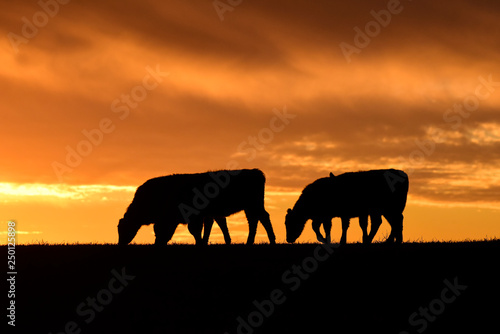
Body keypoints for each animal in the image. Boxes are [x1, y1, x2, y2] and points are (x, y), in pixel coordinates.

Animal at [117, 170, 278, 245]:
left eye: (124, 229)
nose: (120, 243)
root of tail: (255, 171)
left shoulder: (196, 216)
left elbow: (196, 230)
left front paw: (200, 243)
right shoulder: (205, 215)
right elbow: (208, 227)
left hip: (254, 205)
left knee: (262, 218)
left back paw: (270, 239)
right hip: (250, 207)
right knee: (255, 220)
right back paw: (251, 241)